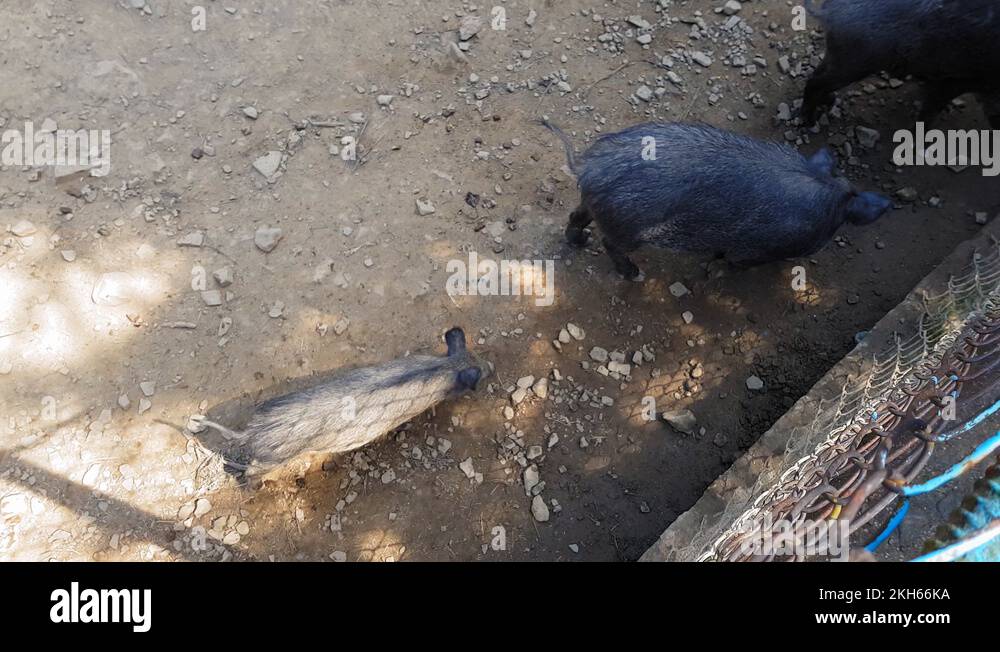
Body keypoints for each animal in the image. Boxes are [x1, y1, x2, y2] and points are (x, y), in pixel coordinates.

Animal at [193, 327, 486, 476]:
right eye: (480, 369)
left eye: (475, 355)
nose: (490, 366)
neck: (445, 367)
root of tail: (252, 432)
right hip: (273, 459)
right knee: (252, 471)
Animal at [540, 119, 893, 280]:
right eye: (839, 223)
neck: (827, 194)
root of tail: (590, 165)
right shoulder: (751, 251)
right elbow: (733, 261)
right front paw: (717, 270)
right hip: (627, 228)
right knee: (609, 243)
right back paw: (634, 274)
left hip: (591, 204)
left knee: (576, 218)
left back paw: (579, 241)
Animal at [802, 0, 1000, 126]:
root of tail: (827, 11)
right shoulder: (960, 79)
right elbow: (932, 107)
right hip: (854, 62)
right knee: (815, 82)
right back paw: (810, 122)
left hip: (839, 55)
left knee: (818, 75)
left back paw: (829, 101)